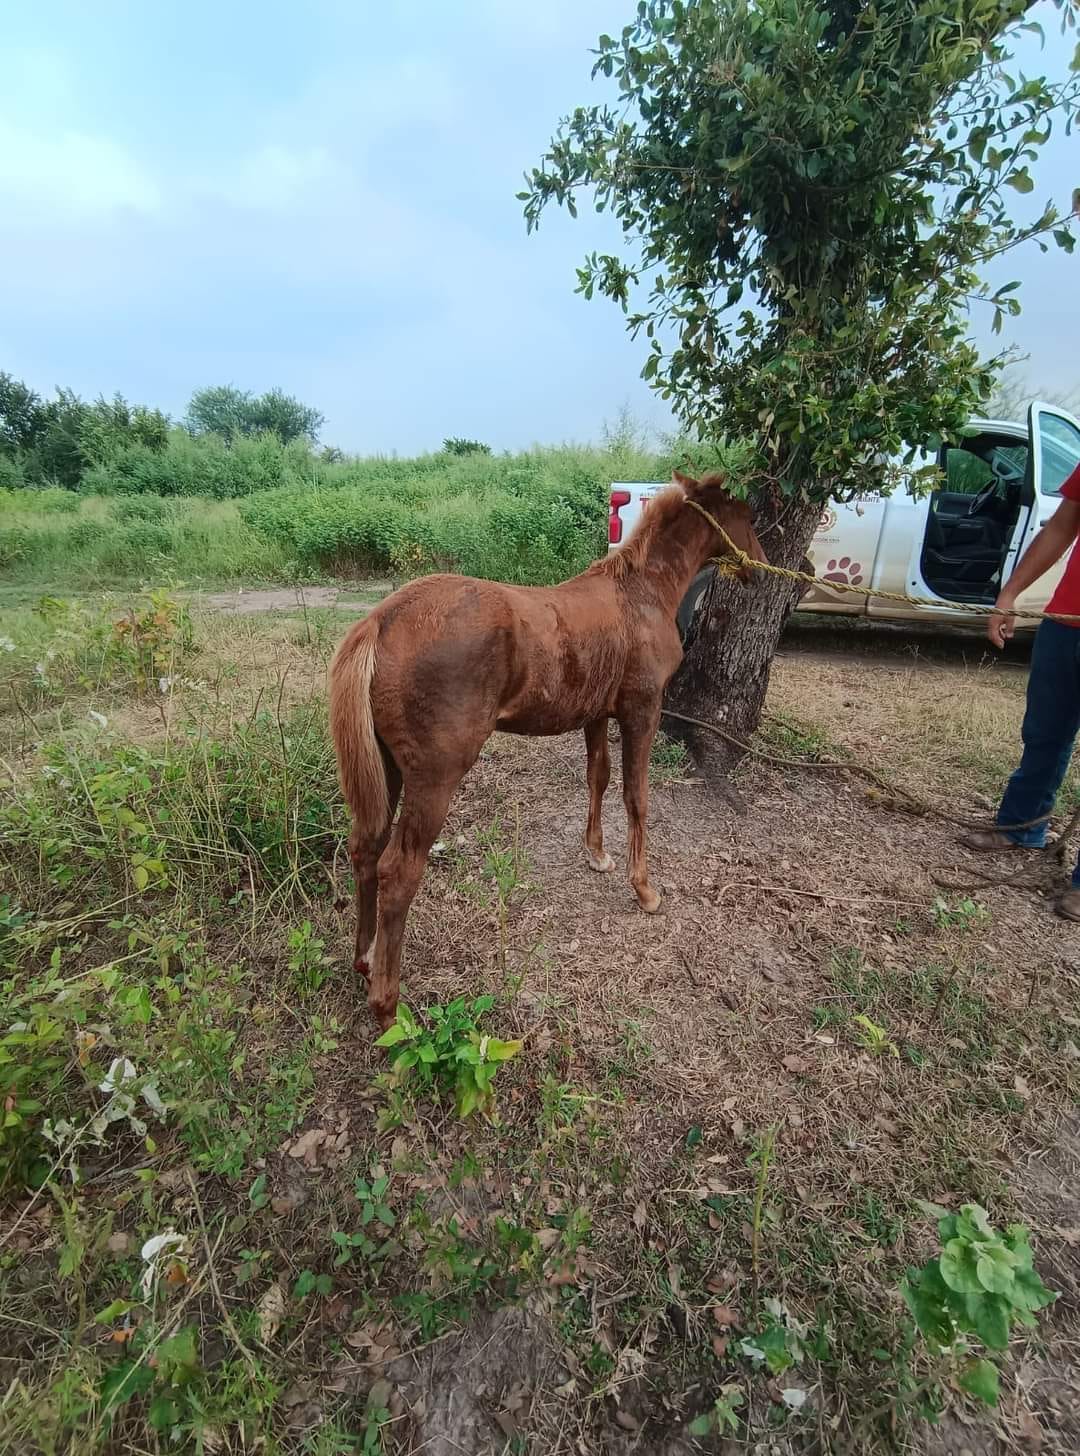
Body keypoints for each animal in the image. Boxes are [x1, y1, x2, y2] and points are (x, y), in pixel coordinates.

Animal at [331, 471, 768, 1030]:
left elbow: (598, 776)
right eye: (749, 517)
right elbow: (637, 796)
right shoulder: (642, 710)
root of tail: (382, 620)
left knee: (365, 848)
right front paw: (646, 891)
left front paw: (597, 854)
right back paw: (389, 1010)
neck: (641, 594)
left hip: (385, 767)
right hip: (435, 775)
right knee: (399, 870)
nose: (762, 569)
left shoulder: (598, 714)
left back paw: (364, 962)